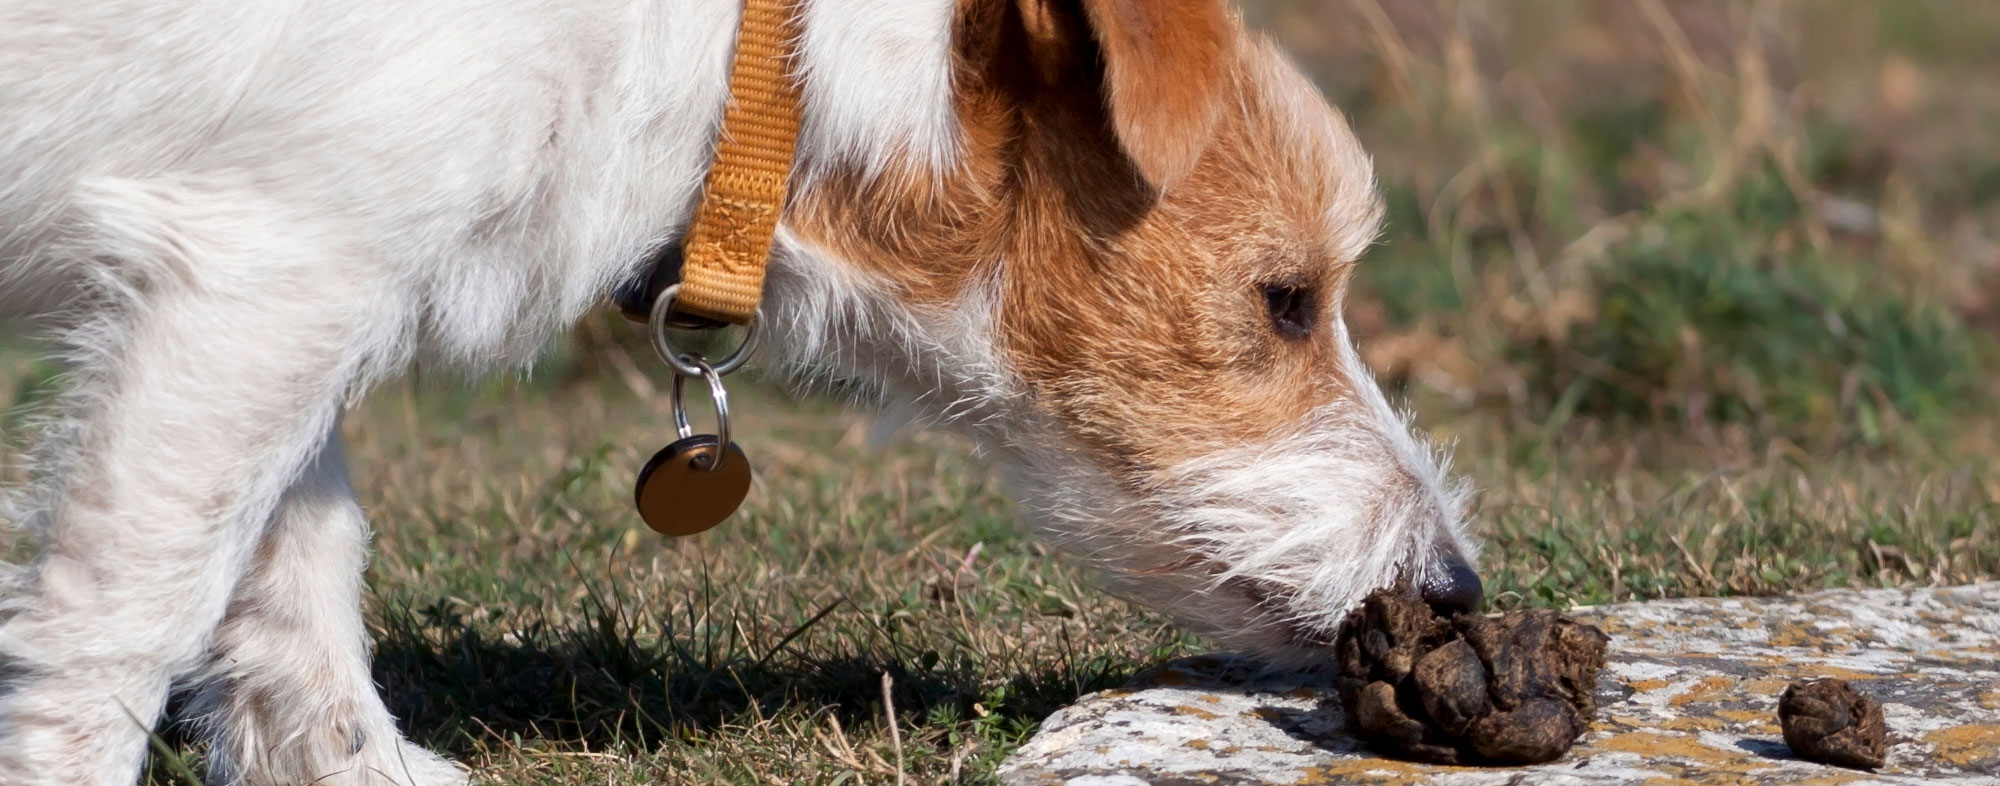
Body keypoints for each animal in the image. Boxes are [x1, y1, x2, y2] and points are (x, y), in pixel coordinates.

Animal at [0, 1, 1472, 784]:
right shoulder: (255, 284)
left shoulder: (282, 309)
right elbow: (123, 615)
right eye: (1287, 299)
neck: (753, 78)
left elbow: (293, 577)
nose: (1457, 584)